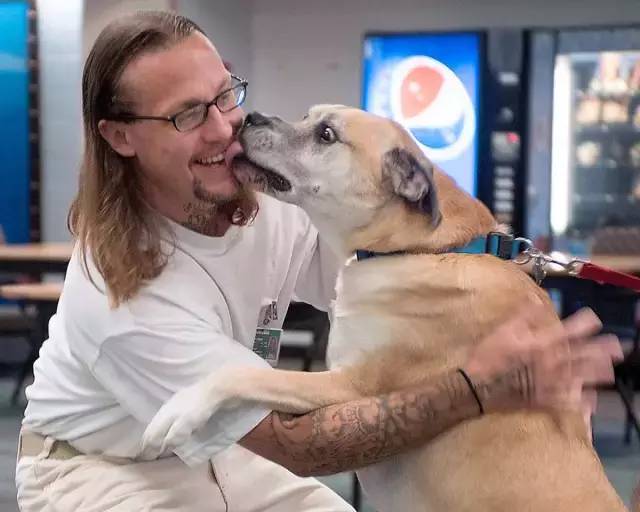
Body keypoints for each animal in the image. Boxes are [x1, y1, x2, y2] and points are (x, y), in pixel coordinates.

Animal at [142, 105, 628, 512]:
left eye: (326, 134)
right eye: (308, 117)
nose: (251, 117)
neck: (422, 249)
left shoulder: (353, 387)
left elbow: (245, 373)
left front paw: (179, 410)